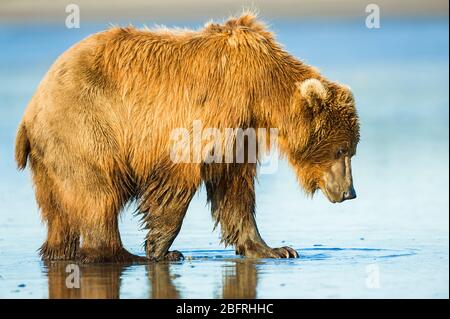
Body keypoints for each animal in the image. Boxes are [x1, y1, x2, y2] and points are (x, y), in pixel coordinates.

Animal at [14, 13, 360, 264]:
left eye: (351, 150)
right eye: (341, 149)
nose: (349, 192)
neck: (260, 89)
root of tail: (30, 110)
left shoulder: (239, 130)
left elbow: (234, 190)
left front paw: (276, 249)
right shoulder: (210, 110)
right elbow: (178, 178)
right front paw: (161, 248)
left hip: (51, 155)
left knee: (59, 210)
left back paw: (59, 252)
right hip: (86, 123)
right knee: (97, 191)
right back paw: (120, 254)